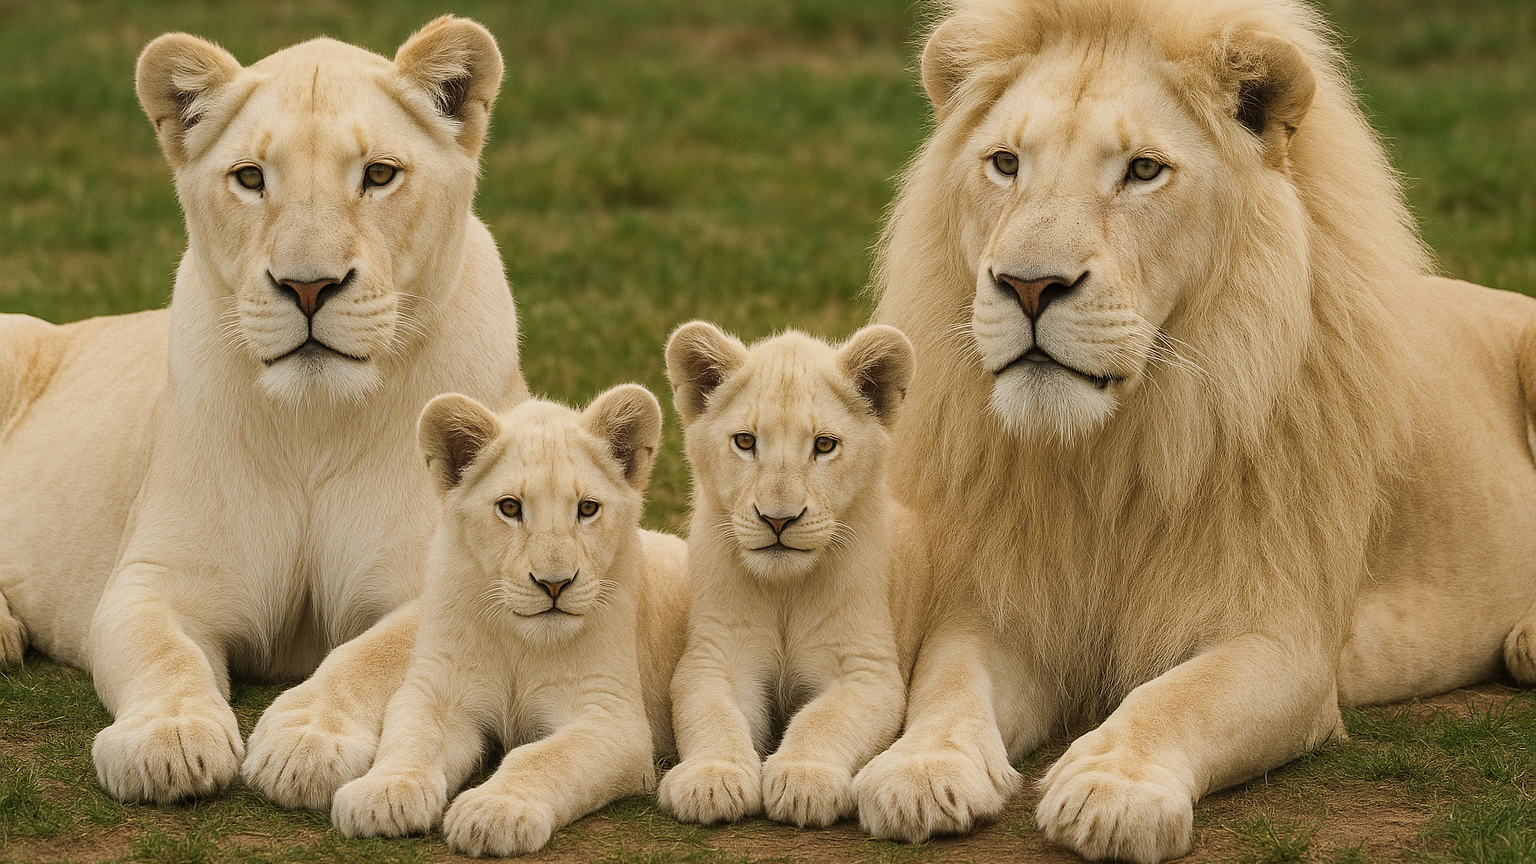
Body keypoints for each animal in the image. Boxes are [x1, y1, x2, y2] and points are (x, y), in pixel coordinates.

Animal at [0, 17, 527, 804]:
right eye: (251, 178)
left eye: (378, 175)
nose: (308, 287)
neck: (314, 422)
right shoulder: (160, 574)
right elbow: (163, 654)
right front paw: (170, 739)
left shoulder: (452, 580)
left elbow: (371, 655)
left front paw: (305, 741)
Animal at [329, 386, 688, 857]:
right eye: (510, 507)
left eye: (587, 508)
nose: (554, 584)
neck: (521, 642)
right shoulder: (440, 691)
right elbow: (413, 737)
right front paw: (385, 794)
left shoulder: (613, 719)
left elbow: (542, 757)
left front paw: (495, 811)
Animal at [656, 322, 929, 828]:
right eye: (745, 441)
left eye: (824, 444)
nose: (778, 519)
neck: (785, 590)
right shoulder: (715, 657)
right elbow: (713, 716)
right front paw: (711, 779)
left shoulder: (866, 669)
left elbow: (824, 719)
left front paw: (804, 780)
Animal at [848, 0, 1536, 861]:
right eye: (1005, 163)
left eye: (1143, 170)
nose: (1028, 286)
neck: (1113, 453)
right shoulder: (1001, 604)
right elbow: (945, 682)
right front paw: (920, 769)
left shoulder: (1286, 643)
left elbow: (1176, 697)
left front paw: (1112, 788)